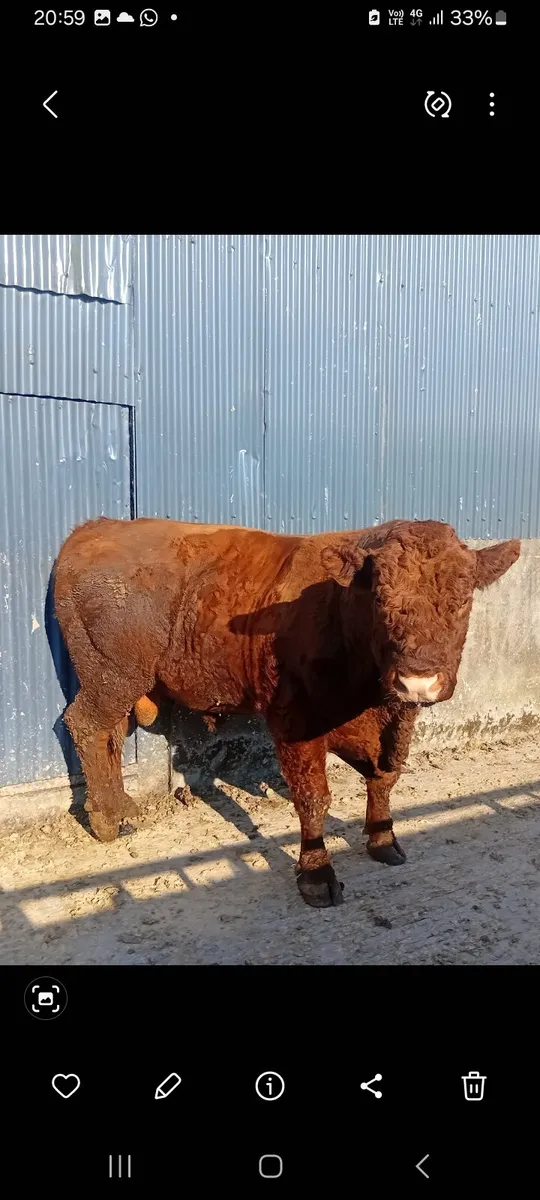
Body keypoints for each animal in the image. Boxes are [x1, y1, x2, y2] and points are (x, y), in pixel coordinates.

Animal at [53, 517, 519, 908]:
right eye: (380, 599)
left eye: (462, 599)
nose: (418, 680)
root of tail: (95, 528)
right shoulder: (296, 724)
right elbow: (314, 798)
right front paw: (317, 875)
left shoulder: (395, 722)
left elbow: (385, 777)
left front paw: (384, 840)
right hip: (111, 676)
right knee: (86, 725)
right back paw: (107, 819)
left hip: (116, 683)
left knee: (111, 734)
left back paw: (123, 808)